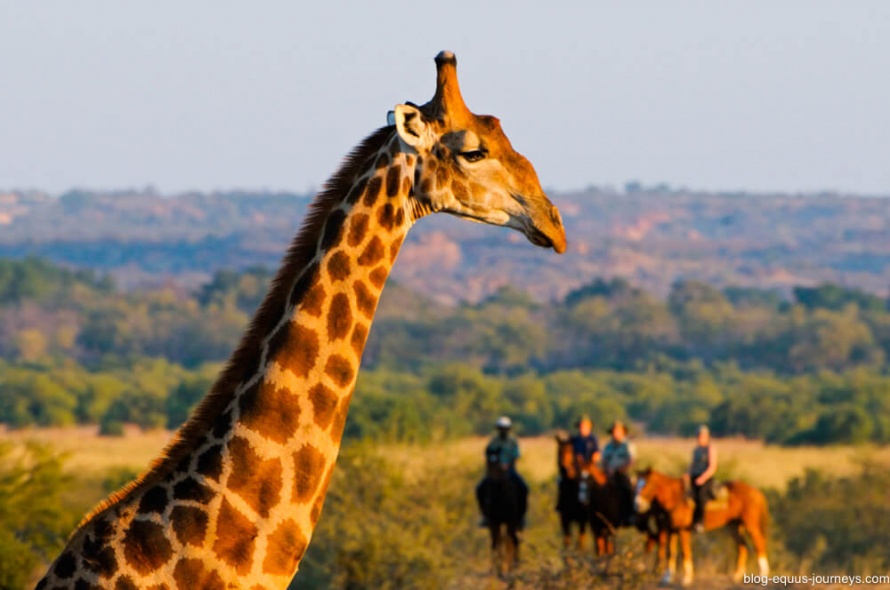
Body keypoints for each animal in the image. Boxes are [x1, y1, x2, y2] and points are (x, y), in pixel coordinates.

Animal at [632, 472, 772, 588]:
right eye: (636, 485)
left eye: (648, 485)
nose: (637, 504)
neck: (675, 498)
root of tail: (756, 491)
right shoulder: (671, 530)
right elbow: (670, 553)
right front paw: (667, 578)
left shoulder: (683, 530)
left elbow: (685, 552)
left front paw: (686, 579)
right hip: (734, 527)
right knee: (742, 547)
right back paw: (736, 576)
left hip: (750, 525)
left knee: (759, 544)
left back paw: (762, 576)